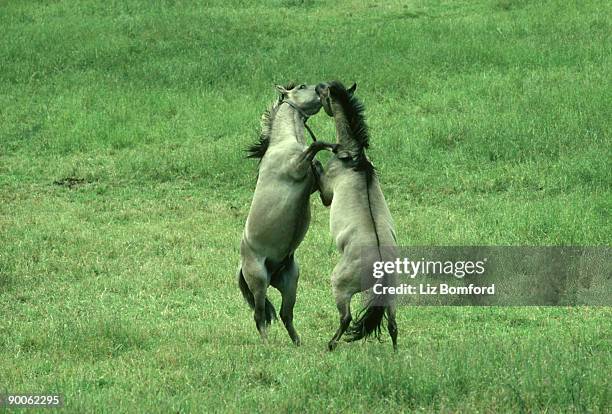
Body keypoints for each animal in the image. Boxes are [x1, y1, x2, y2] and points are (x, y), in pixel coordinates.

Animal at [238, 82, 334, 344]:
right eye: (302, 86)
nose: (322, 86)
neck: (283, 143)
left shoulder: (318, 190)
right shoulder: (296, 166)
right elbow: (315, 146)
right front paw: (333, 145)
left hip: (291, 282)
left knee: (285, 314)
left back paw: (298, 344)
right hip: (259, 282)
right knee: (260, 315)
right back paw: (267, 345)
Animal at [314, 81, 400, 352]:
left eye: (324, 93)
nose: (317, 86)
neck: (354, 157)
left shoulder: (327, 194)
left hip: (340, 287)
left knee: (346, 317)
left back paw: (331, 344)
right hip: (393, 296)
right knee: (393, 324)